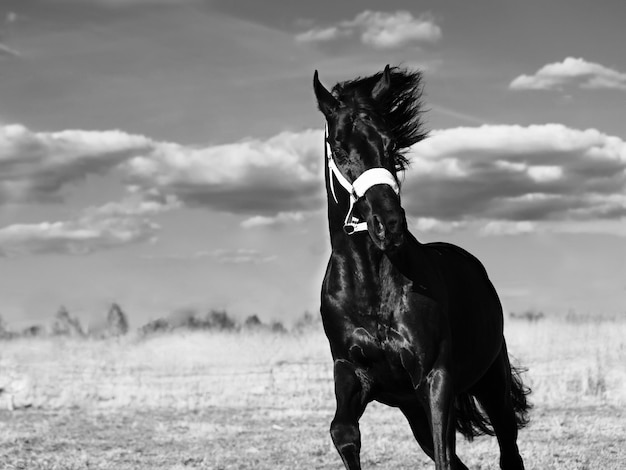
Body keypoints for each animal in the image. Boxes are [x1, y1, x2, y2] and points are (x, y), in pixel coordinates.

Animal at [312, 66, 528, 470]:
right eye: (339, 145)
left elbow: (444, 456)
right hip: (412, 410)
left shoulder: (434, 378)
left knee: (508, 452)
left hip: (492, 383)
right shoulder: (351, 372)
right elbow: (343, 432)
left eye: (389, 143)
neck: (372, 292)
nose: (389, 224)